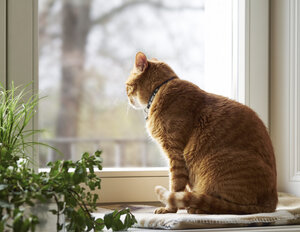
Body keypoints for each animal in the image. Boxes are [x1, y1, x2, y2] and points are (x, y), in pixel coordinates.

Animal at [125, 52, 278, 214]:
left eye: (127, 86)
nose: (128, 98)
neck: (159, 90)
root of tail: (273, 202)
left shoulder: (175, 154)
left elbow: (175, 186)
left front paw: (169, 209)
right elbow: (182, 189)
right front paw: (180, 204)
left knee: (225, 206)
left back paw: (197, 208)